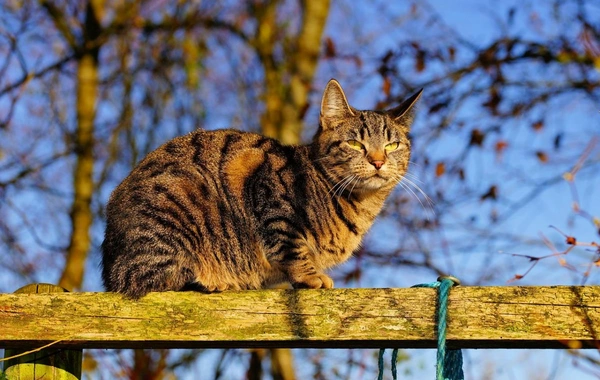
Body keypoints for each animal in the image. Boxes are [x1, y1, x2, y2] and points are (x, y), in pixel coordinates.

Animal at [101, 78, 422, 298]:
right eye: (355, 144)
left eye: (392, 145)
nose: (378, 161)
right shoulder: (269, 193)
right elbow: (291, 247)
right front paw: (310, 276)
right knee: (148, 279)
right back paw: (214, 282)